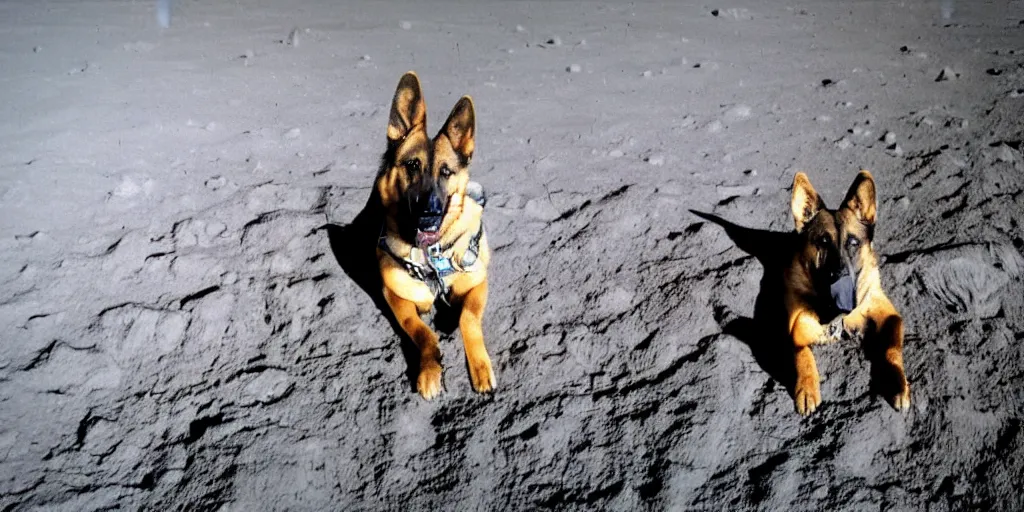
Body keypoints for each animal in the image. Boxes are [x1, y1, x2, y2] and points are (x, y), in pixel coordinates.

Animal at [376, 72, 495, 399]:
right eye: (412, 165)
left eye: (446, 171)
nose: (428, 216)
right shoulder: (395, 297)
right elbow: (423, 332)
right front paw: (430, 370)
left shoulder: (478, 284)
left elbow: (468, 318)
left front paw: (480, 366)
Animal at [786, 169, 909, 413]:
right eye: (823, 241)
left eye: (853, 242)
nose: (838, 275)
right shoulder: (796, 323)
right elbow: (801, 351)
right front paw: (807, 387)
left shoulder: (889, 314)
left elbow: (891, 347)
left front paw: (896, 381)